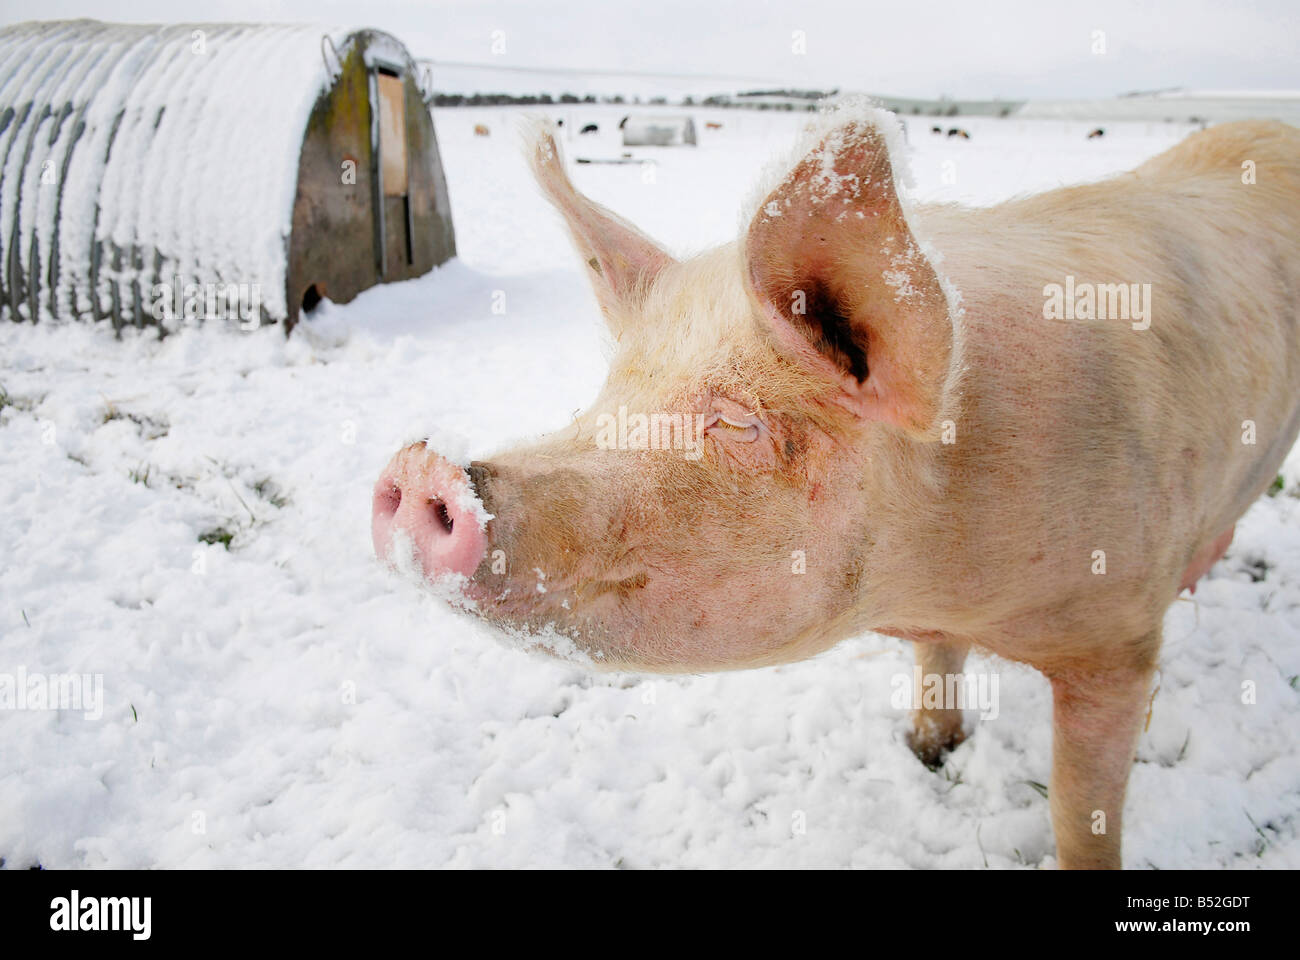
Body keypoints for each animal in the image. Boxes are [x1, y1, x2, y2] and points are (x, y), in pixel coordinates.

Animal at [372, 104, 1300, 869]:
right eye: (610, 396)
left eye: (736, 424)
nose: (423, 466)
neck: (932, 581)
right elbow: (936, 660)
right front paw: (927, 748)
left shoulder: (1119, 640)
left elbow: (1080, 812)